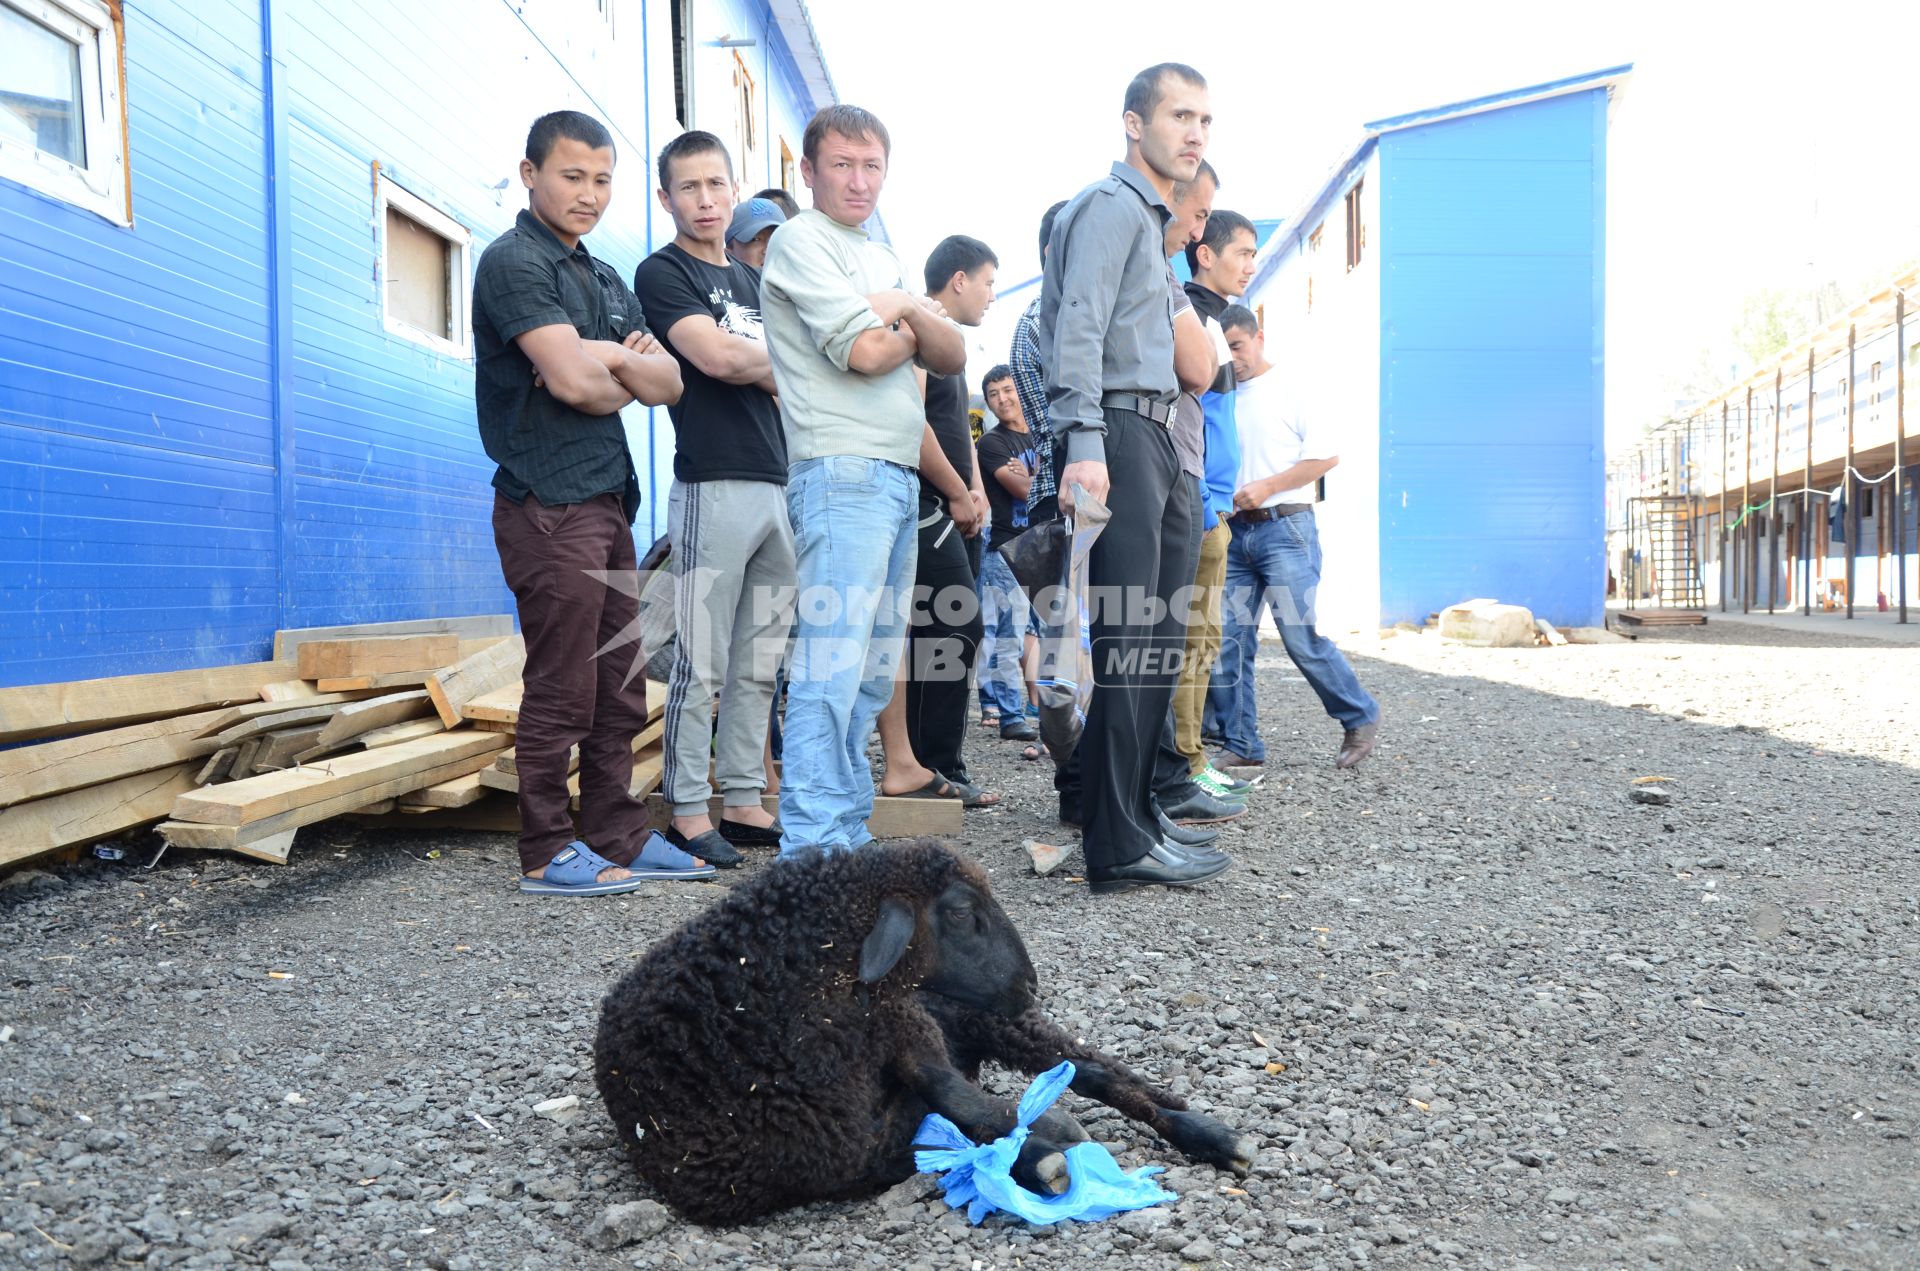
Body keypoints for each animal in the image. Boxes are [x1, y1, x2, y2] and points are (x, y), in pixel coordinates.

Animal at [591, 840, 1251, 1228]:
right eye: (960, 912)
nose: (1031, 984)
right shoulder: (852, 1152)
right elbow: (951, 1126)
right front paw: (1043, 1151)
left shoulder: (908, 1032)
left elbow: (952, 1095)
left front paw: (1046, 1135)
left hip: (994, 1021)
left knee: (1099, 1072)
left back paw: (1210, 1134)